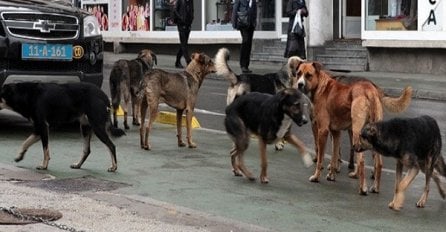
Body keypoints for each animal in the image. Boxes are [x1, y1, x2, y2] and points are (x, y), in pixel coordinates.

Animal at [290, 60, 412, 195]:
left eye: (309, 75)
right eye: (298, 73)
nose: (299, 84)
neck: (321, 86)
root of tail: (370, 90)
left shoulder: (322, 130)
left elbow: (321, 156)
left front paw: (316, 176)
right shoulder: (336, 133)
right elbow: (334, 156)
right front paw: (332, 175)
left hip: (356, 133)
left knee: (362, 161)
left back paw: (362, 188)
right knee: (379, 162)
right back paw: (375, 187)